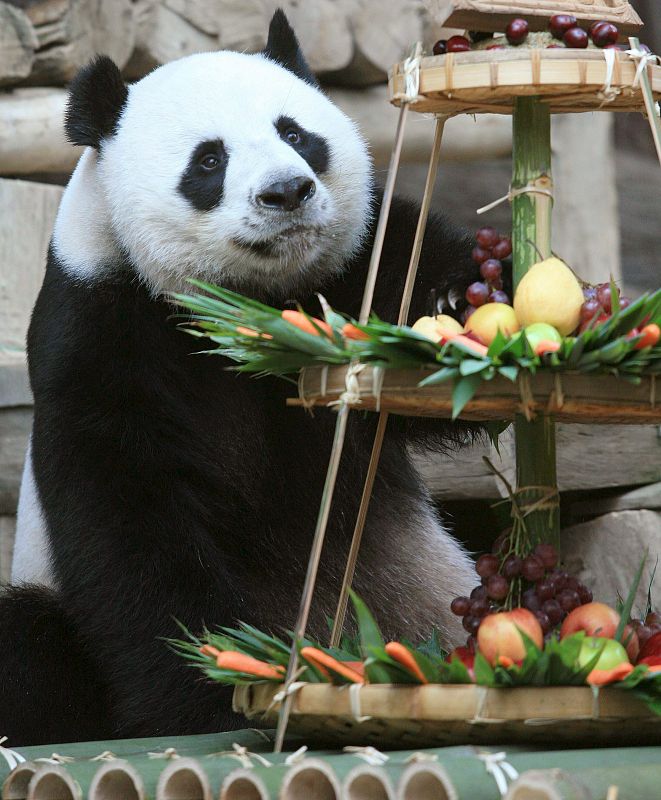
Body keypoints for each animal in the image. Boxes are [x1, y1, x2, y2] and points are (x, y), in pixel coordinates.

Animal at [2, 10, 484, 745]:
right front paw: (215, 691)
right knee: (29, 645)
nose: (287, 192)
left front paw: (459, 304)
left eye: (295, 134)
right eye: (209, 160)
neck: (248, 302)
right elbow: (127, 518)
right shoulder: (101, 329)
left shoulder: (352, 266)